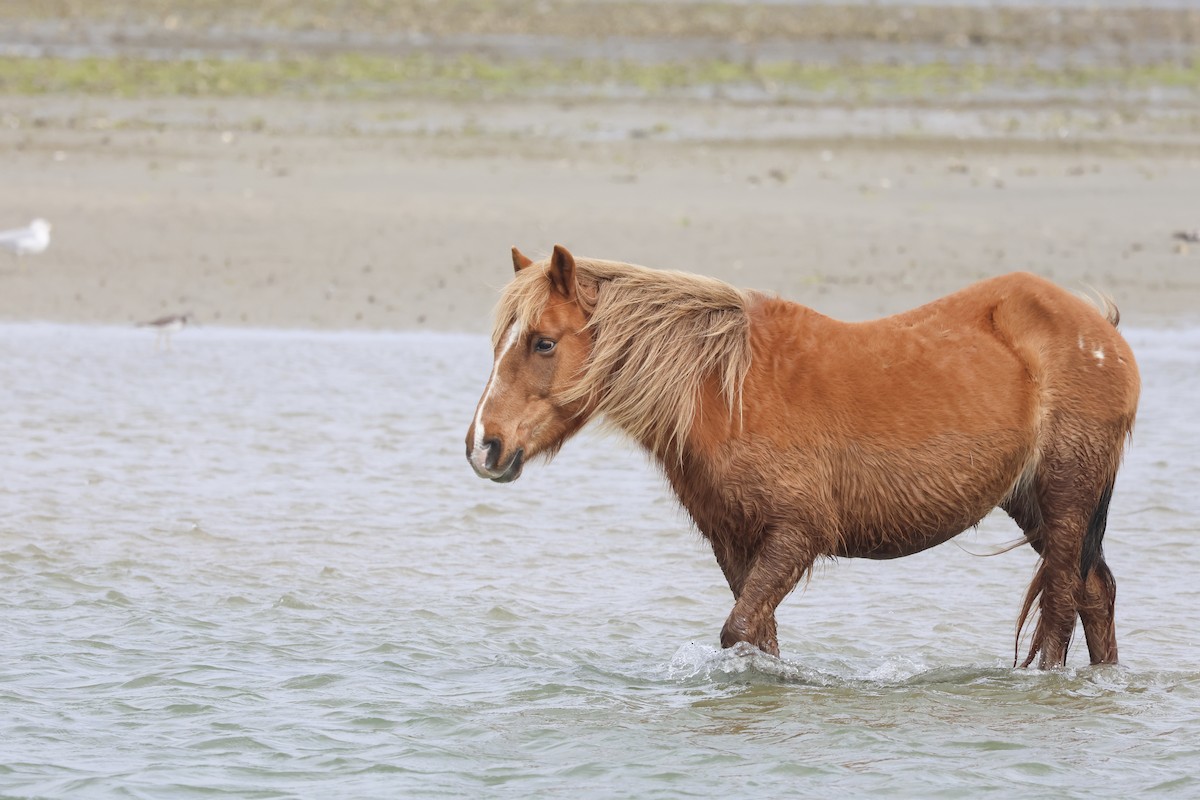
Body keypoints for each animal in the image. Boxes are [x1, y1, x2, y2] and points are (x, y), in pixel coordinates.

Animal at [466, 245, 1140, 668]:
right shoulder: (736, 541)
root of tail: (1102, 328)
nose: (484, 446)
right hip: (1031, 503)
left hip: (1065, 498)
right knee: (1094, 593)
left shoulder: (795, 534)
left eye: (543, 342)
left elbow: (739, 629)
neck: (722, 390)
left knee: (1060, 606)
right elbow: (756, 636)